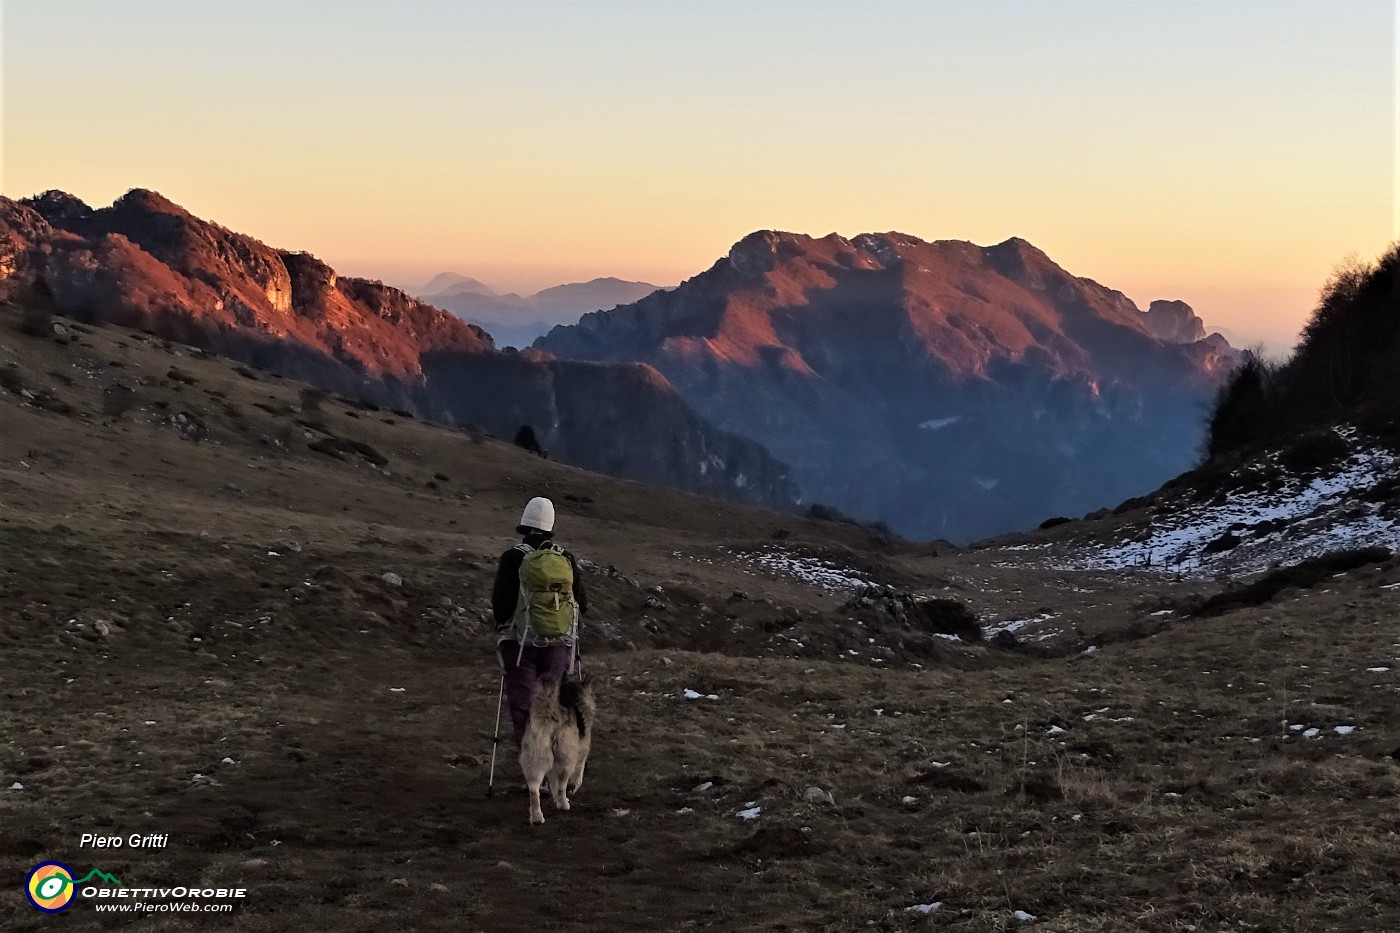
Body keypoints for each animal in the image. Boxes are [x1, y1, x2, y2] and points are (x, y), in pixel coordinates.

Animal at [520, 675, 596, 823]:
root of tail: (549, 712)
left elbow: (552, 782)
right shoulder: (581, 751)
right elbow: (578, 772)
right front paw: (573, 786)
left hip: (535, 756)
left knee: (533, 789)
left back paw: (537, 816)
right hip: (565, 758)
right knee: (561, 784)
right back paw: (563, 804)